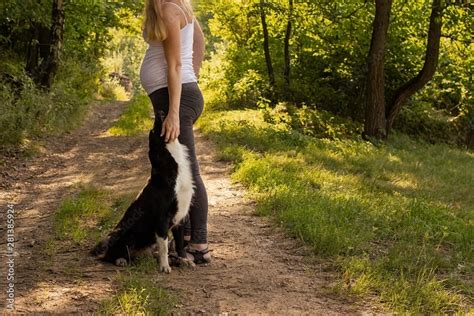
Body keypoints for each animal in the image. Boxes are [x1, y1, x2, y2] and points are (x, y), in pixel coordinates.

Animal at [90, 110, 194, 272]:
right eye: (157, 127)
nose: (161, 111)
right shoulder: (162, 218)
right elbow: (164, 246)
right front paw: (165, 267)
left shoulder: (180, 216)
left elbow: (179, 243)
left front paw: (183, 259)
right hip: (123, 234)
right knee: (112, 254)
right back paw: (121, 260)